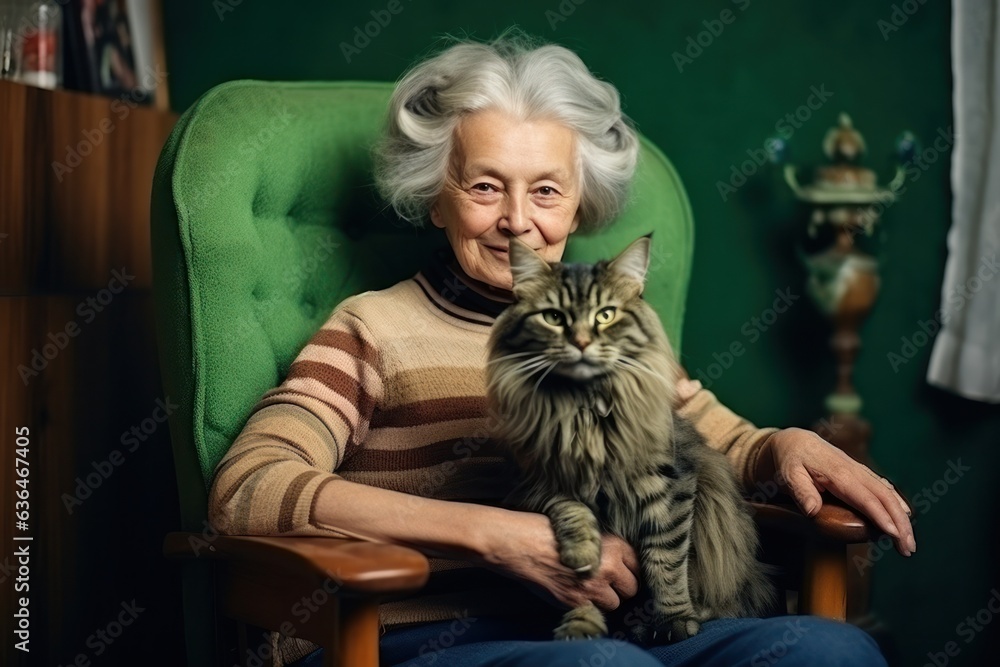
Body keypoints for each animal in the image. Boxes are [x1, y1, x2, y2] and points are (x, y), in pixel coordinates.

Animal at [484, 237, 772, 644]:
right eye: (553, 317)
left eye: (605, 315)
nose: (582, 342)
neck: (584, 410)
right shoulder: (539, 481)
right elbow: (575, 534)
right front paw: (582, 582)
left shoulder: (671, 487)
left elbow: (666, 562)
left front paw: (674, 621)